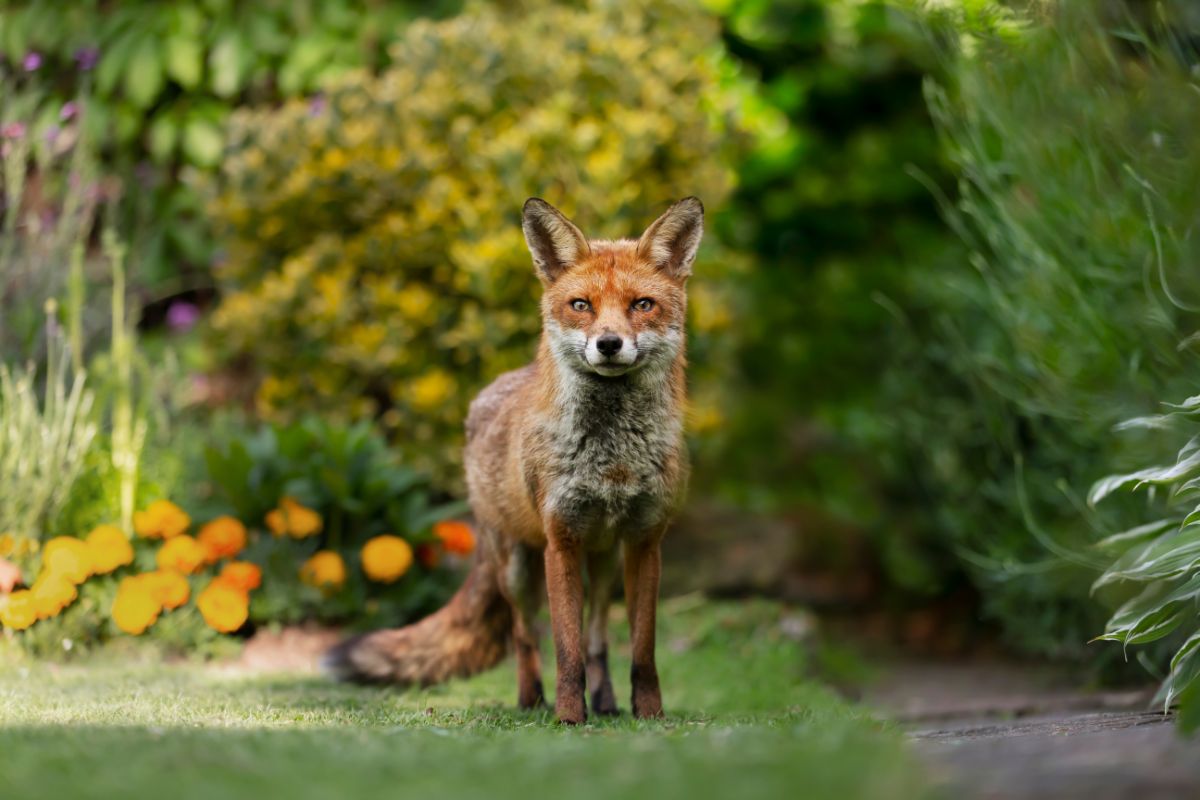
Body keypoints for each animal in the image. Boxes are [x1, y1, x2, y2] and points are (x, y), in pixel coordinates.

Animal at [328, 195, 700, 724]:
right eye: (581, 305)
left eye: (642, 305)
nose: (609, 344)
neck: (611, 461)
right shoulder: (560, 541)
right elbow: (564, 650)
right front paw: (569, 716)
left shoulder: (646, 541)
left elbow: (641, 650)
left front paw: (649, 714)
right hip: (517, 569)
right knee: (525, 636)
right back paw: (531, 701)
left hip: (605, 563)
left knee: (598, 639)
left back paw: (607, 703)